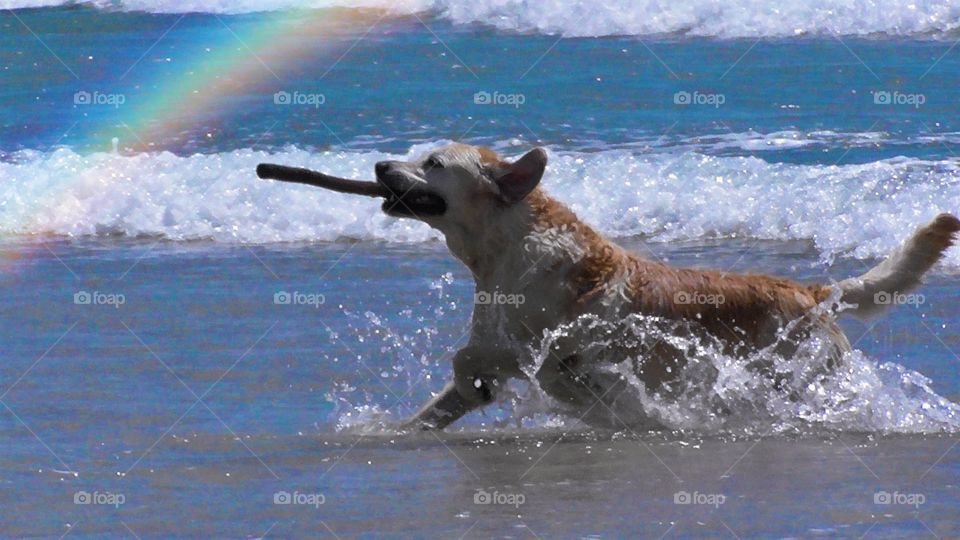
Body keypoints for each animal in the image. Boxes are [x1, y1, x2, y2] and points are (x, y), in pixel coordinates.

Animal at [372, 142, 956, 430]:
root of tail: (812, 294)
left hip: (791, 381)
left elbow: (473, 357)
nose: (378, 164)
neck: (504, 252)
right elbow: (442, 398)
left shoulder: (557, 354)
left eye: (432, 163)